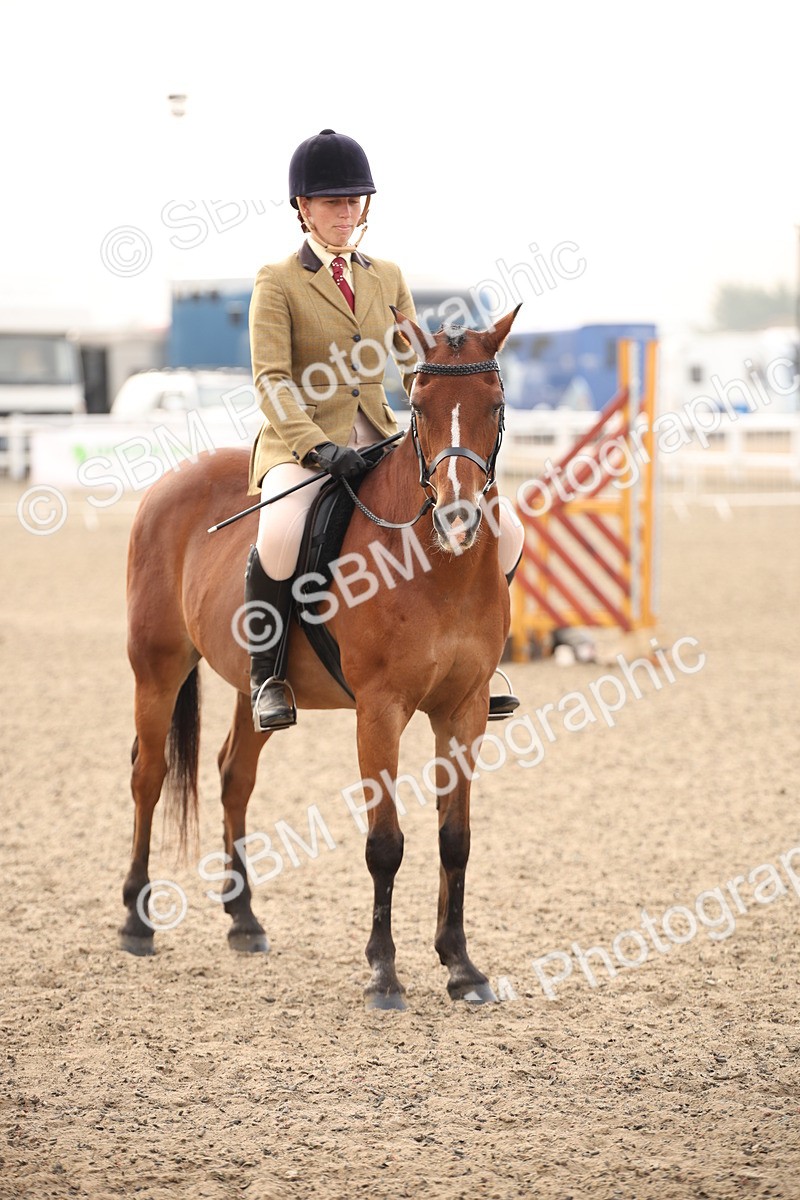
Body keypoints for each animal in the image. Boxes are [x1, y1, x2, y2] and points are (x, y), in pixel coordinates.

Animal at [120, 304, 521, 1009]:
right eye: (419, 405)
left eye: (494, 404)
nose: (459, 517)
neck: (437, 566)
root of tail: (170, 481)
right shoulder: (380, 712)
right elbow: (385, 843)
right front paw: (384, 974)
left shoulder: (465, 710)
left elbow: (456, 838)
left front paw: (461, 967)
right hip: (157, 667)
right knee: (149, 776)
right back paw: (137, 923)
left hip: (251, 686)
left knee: (234, 775)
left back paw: (244, 920)